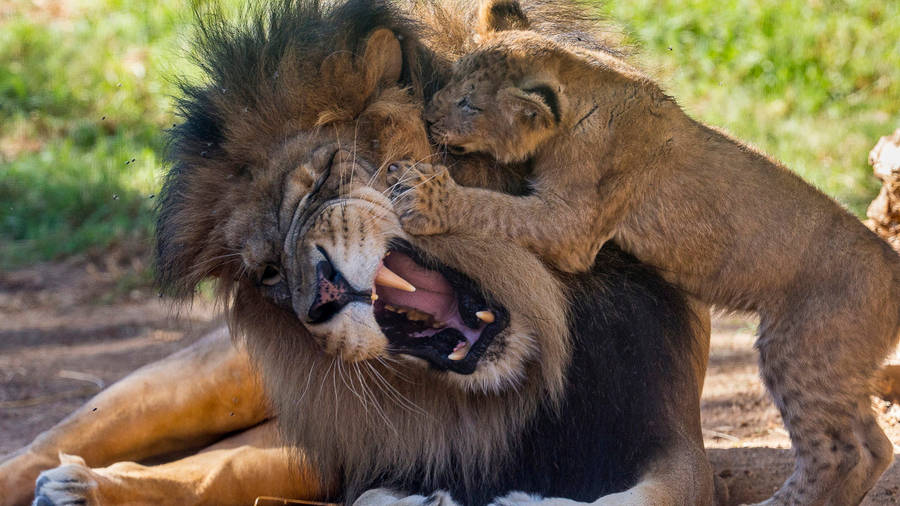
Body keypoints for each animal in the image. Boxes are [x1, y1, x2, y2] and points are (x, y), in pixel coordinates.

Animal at [1, 1, 715, 505]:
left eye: (321, 176)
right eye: (266, 274)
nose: (316, 294)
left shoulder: (668, 435)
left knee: (210, 470)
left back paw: (81, 488)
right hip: (190, 382)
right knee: (46, 446)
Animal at [386, 1, 900, 504]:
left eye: (470, 104)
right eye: (450, 81)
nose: (428, 119)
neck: (581, 88)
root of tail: (891, 264)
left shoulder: (571, 226)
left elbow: (494, 209)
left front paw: (423, 196)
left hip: (800, 351)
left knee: (841, 452)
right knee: (876, 444)